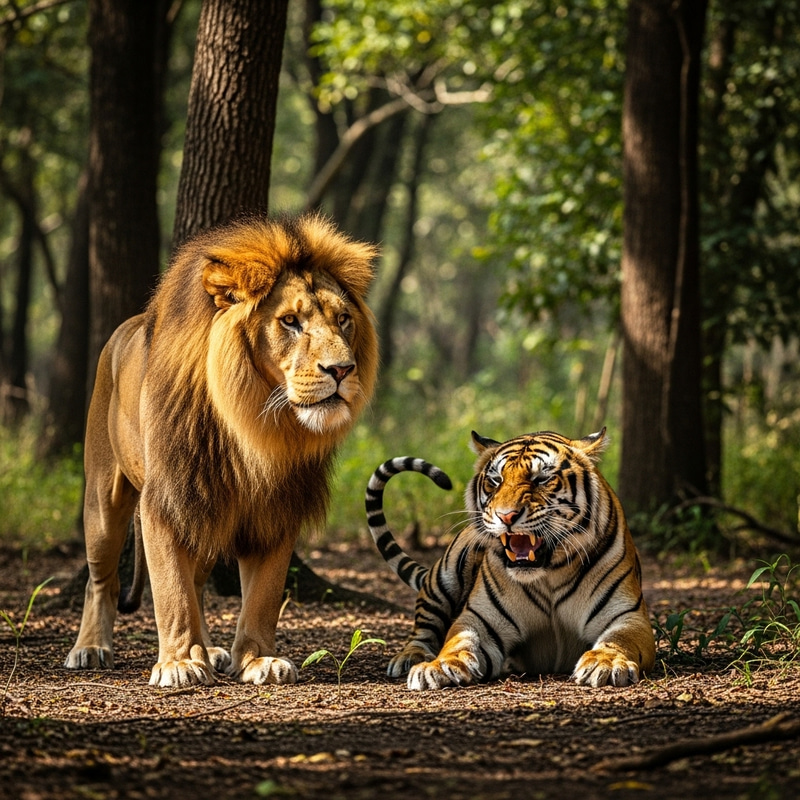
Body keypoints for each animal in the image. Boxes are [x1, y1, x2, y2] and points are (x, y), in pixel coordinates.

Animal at [64, 213, 379, 687]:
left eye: (343, 319)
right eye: (290, 321)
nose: (342, 370)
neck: (253, 422)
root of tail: (122, 329)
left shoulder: (277, 508)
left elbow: (262, 596)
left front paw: (257, 659)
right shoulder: (166, 499)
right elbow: (170, 591)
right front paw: (177, 663)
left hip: (208, 512)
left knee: (196, 582)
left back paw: (208, 648)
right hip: (104, 496)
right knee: (101, 578)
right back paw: (90, 648)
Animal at [365, 428, 656, 690]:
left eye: (542, 478)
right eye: (495, 480)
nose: (506, 516)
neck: (550, 574)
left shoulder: (628, 616)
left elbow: (620, 640)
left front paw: (606, 662)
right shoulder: (479, 620)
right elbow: (457, 641)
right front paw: (439, 666)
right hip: (444, 575)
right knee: (423, 626)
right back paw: (409, 658)